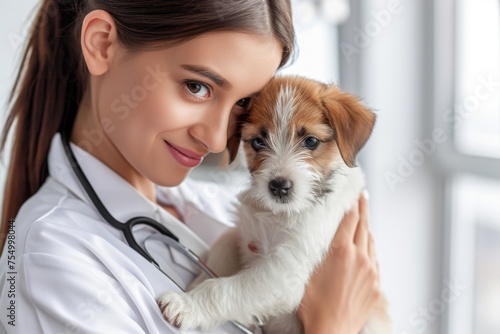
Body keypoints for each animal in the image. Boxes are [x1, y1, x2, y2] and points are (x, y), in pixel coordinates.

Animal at [157, 76, 390, 334]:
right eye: (258, 142)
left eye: (310, 141)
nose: (279, 186)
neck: (278, 214)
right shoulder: (243, 230)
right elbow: (223, 245)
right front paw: (196, 283)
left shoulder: (285, 270)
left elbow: (225, 289)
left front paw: (187, 303)